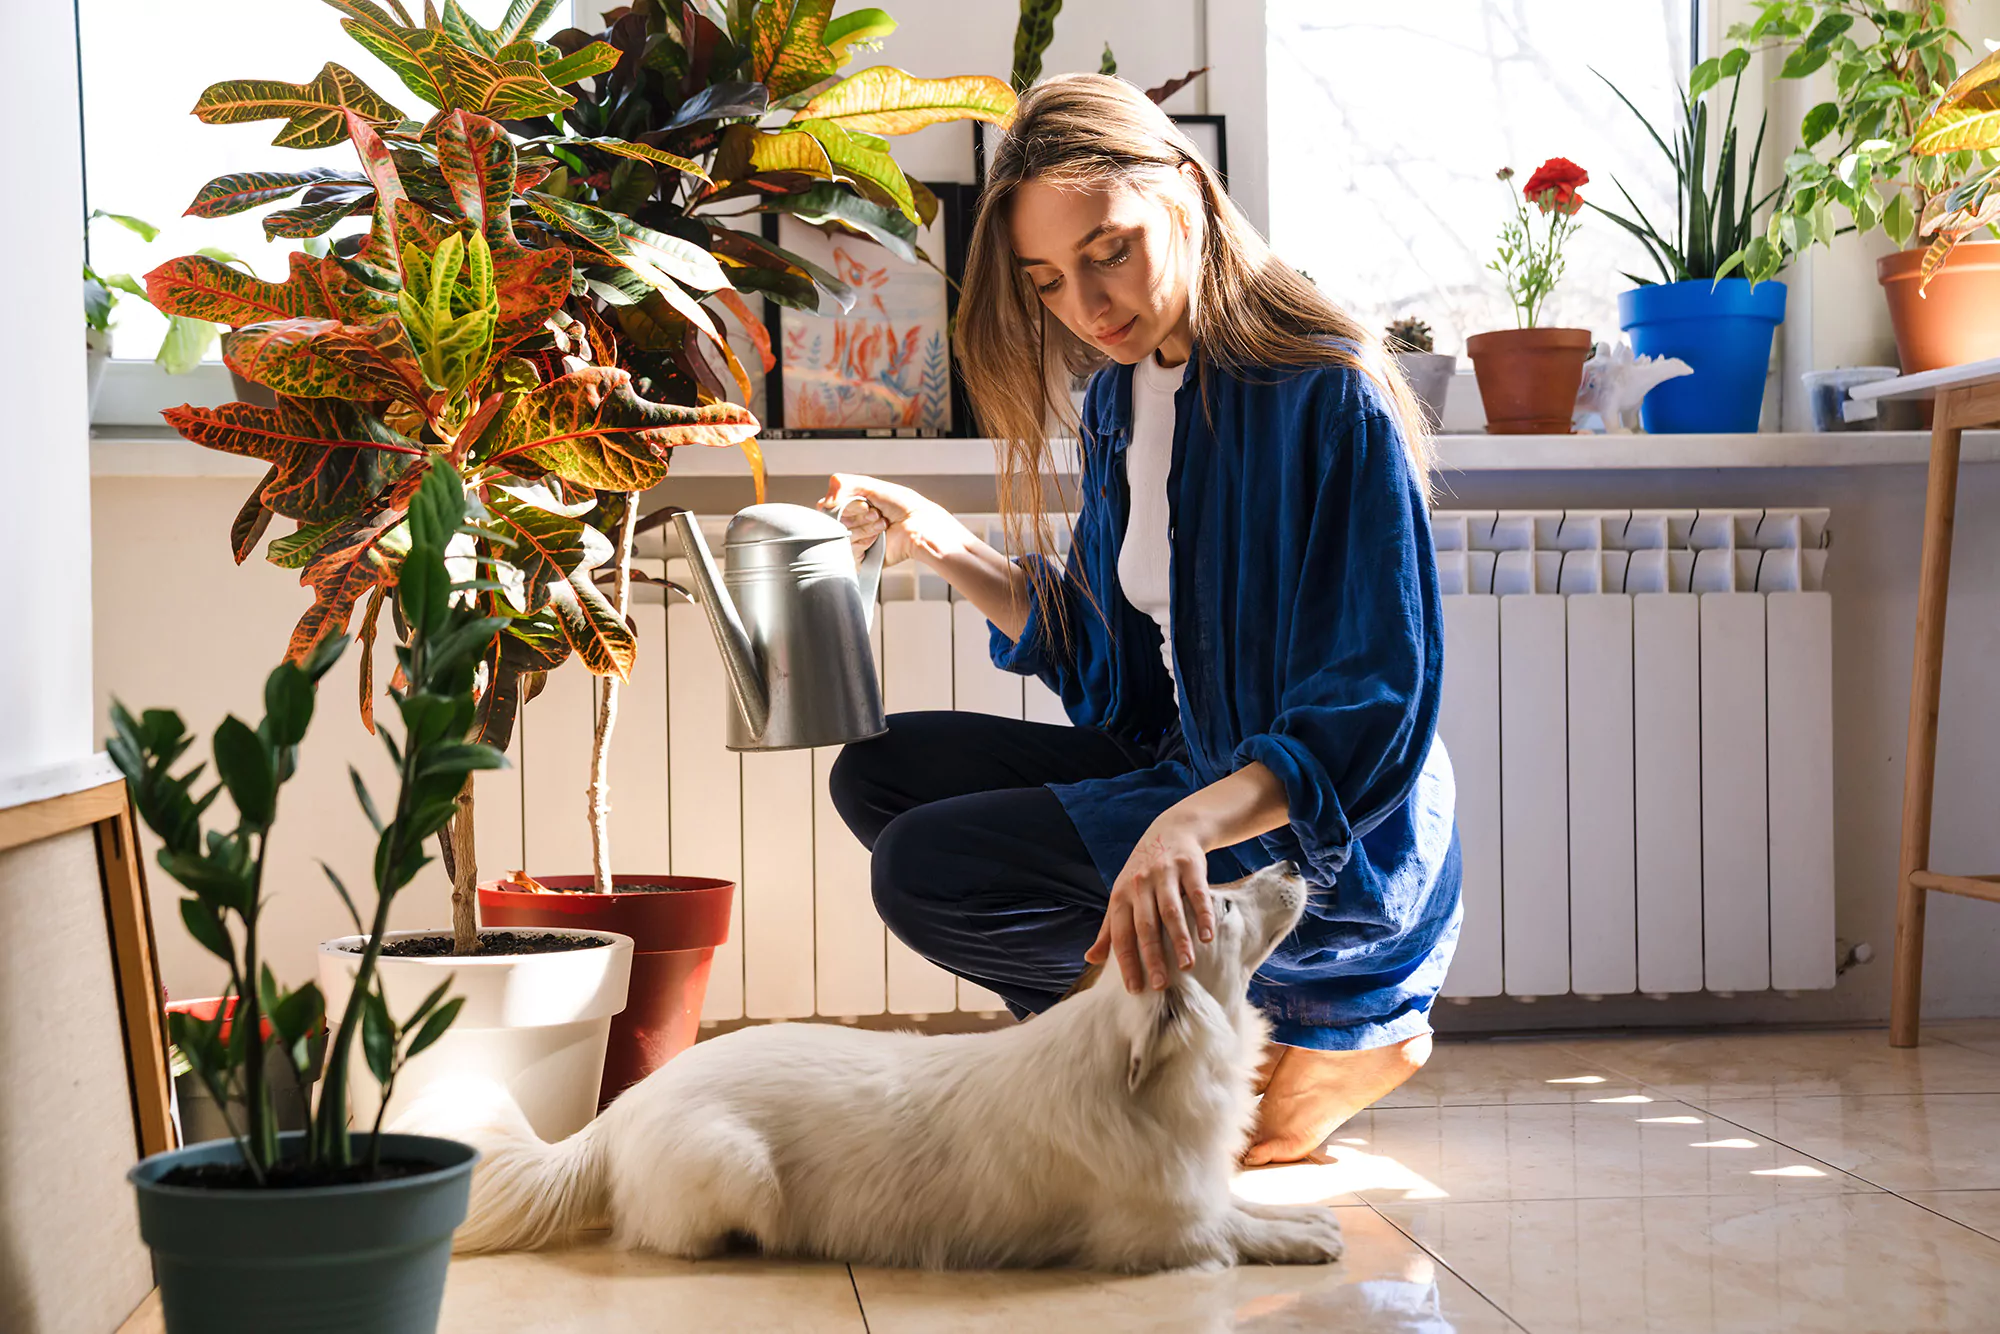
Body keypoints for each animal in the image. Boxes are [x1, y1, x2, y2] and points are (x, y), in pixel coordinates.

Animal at [430, 860, 1352, 1272]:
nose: (1294, 862)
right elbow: (1230, 1227)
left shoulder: (1189, 1191)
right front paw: (1304, 1234)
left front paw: (1303, 1214)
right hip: (736, 1169)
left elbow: (1236, 1201)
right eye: (1219, 902)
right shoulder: (1155, 1230)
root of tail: (619, 1113)